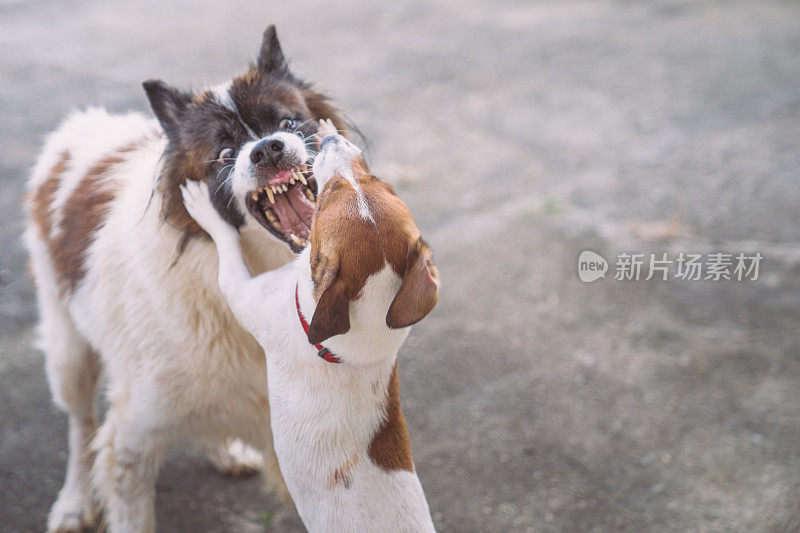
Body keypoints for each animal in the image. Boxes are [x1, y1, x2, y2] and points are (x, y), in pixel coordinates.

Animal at [24, 26, 344, 532]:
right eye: (225, 154)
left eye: (290, 123)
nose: (268, 149)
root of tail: (77, 128)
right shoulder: (129, 443)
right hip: (67, 351)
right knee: (79, 427)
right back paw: (73, 502)